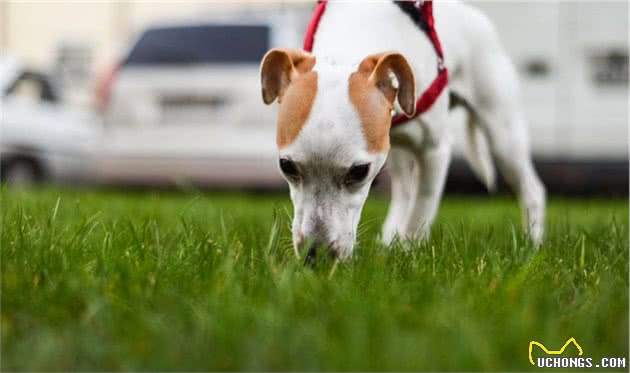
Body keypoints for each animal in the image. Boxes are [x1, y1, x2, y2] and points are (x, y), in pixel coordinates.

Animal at [260, 0, 544, 258]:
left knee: (532, 189)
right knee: (404, 191)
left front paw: (411, 248)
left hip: (503, 132)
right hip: (396, 149)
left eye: (359, 171)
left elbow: (422, 206)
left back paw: (532, 244)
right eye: (286, 166)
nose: (315, 254)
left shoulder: (434, 151)